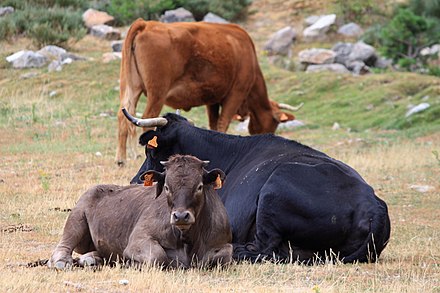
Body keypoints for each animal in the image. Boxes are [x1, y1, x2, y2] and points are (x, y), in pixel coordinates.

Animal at [48, 154, 232, 268]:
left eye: (199, 186)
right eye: (167, 187)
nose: (180, 216)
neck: (188, 240)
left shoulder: (224, 245)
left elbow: (222, 257)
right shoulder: (138, 240)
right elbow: (158, 256)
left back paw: (92, 259)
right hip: (76, 220)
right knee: (63, 245)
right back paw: (61, 261)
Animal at [117, 19, 296, 164]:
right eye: (274, 122)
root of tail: (146, 24)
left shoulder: (213, 100)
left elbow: (214, 124)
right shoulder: (236, 94)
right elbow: (223, 123)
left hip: (131, 87)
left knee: (123, 115)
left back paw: (122, 159)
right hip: (157, 92)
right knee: (147, 118)